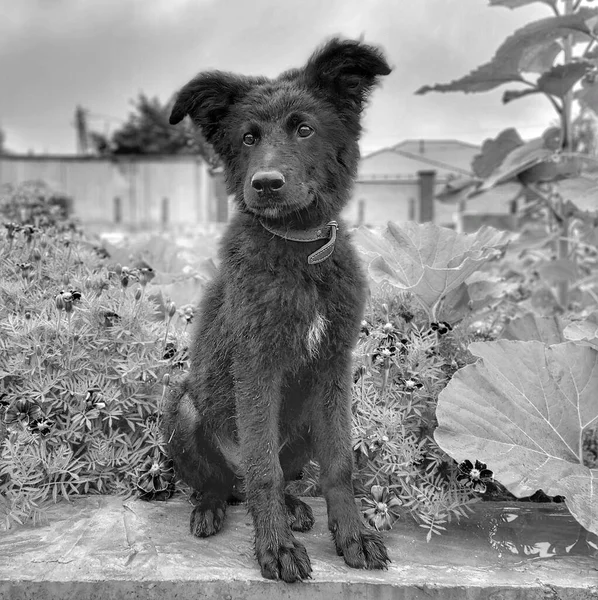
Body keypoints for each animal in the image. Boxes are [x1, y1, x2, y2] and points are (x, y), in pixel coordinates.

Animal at [165, 37, 394, 580]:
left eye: (304, 129)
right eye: (248, 138)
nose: (266, 184)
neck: (299, 250)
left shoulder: (333, 369)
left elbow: (339, 465)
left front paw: (353, 537)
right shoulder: (256, 368)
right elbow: (263, 468)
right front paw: (277, 549)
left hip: (307, 415)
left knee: (274, 479)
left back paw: (292, 508)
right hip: (185, 411)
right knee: (229, 484)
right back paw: (211, 508)